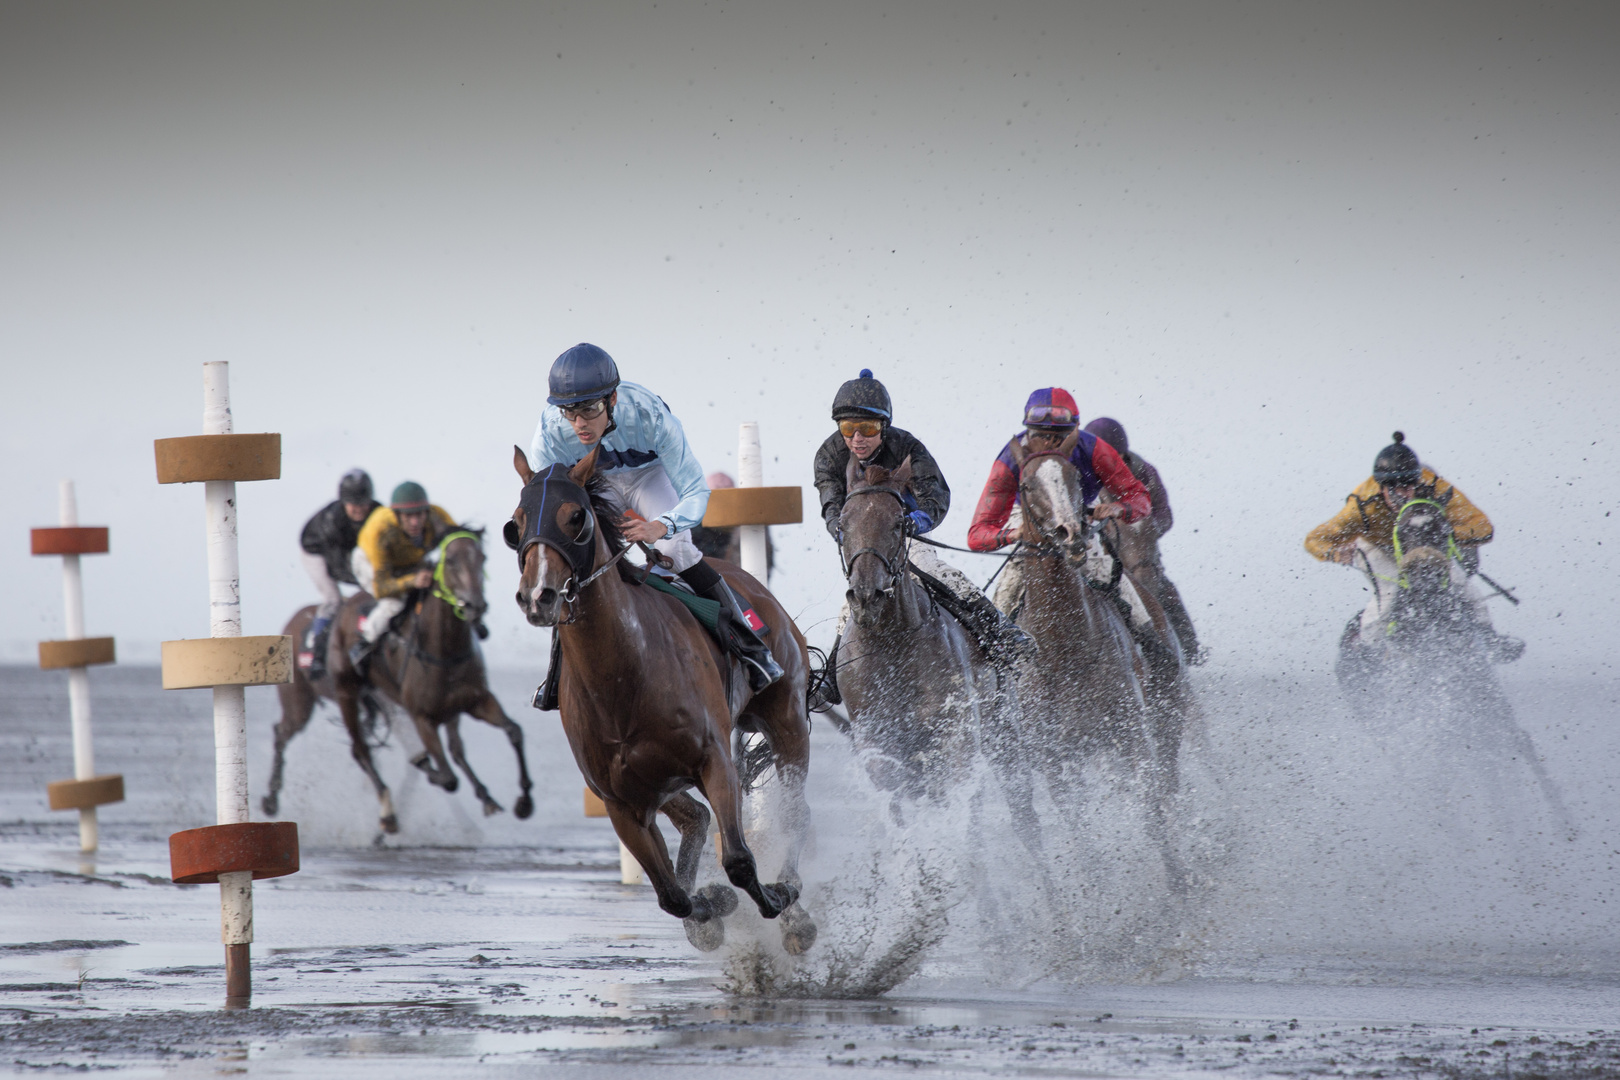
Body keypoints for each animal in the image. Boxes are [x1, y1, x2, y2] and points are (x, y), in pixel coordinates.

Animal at [262, 524, 534, 835]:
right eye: (451, 561)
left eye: (482, 558)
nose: (475, 605)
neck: (445, 650)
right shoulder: (422, 717)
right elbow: (447, 776)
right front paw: (430, 771)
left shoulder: (474, 701)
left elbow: (512, 731)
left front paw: (523, 802)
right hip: (330, 696)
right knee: (342, 746)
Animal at [515, 440, 822, 952]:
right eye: (515, 522)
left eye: (576, 517)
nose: (539, 596)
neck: (623, 677)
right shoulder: (620, 800)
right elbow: (671, 896)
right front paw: (710, 910)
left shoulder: (714, 759)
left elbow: (739, 860)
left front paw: (775, 899)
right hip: (660, 779)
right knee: (695, 817)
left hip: (787, 720)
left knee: (797, 812)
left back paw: (795, 912)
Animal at [1004, 427, 1185, 893]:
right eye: (1026, 485)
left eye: (1072, 476)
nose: (1070, 533)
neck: (1065, 649)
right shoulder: (1053, 757)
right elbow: (1078, 824)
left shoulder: (1130, 732)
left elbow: (1152, 808)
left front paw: (1178, 885)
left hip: (1166, 717)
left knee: (1169, 785)